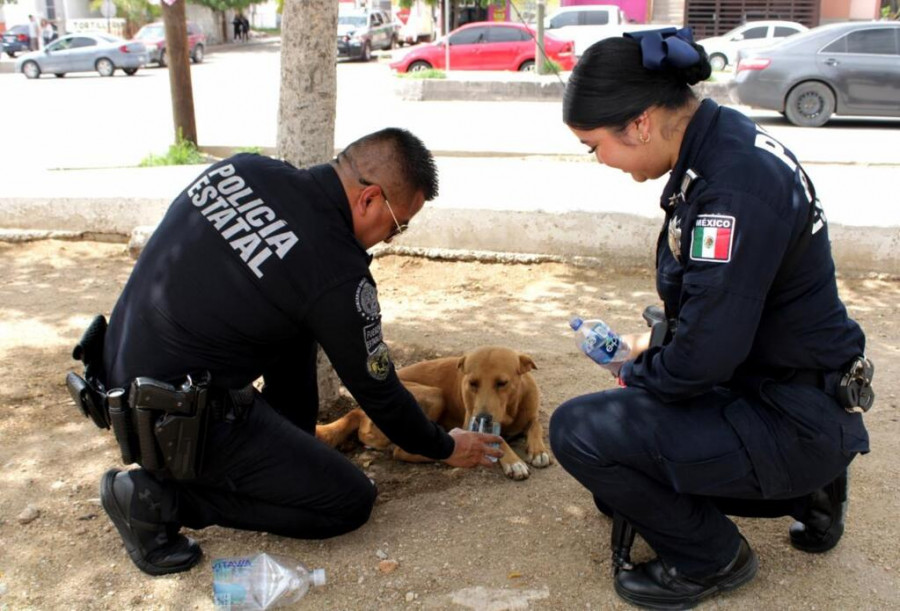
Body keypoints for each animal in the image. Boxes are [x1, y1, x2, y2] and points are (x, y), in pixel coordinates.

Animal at [316, 346, 556, 480]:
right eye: (472, 383)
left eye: (502, 383)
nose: (483, 418)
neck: (510, 410)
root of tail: (358, 409)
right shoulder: (472, 422)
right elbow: (498, 440)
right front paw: (514, 461)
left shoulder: (530, 415)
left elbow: (536, 426)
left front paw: (538, 450)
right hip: (434, 395)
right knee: (401, 451)